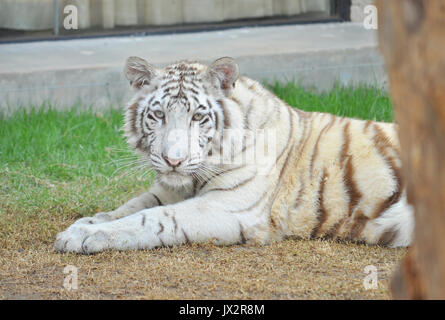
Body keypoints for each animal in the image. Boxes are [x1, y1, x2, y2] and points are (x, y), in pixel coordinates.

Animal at [54, 56, 412, 254]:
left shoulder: (228, 206)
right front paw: (87, 222)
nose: (173, 160)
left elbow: (153, 218)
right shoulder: (171, 188)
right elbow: (131, 206)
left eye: (198, 117)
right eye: (158, 115)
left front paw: (86, 235)